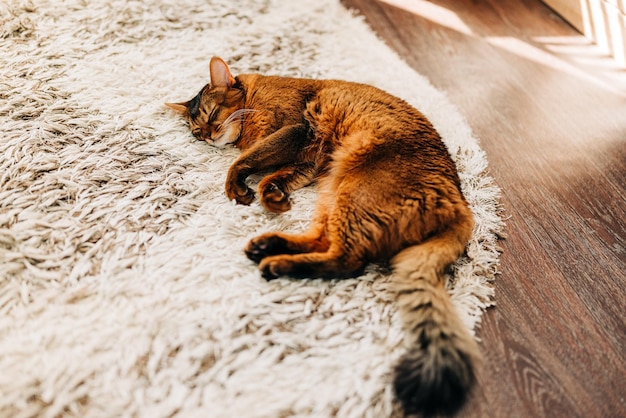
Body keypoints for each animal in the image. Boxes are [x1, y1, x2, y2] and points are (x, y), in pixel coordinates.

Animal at [166, 57, 478, 416]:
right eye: (196, 133)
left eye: (212, 114)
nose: (208, 136)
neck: (255, 97)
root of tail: (457, 202)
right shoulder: (310, 161)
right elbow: (274, 176)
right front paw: (273, 195)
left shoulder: (293, 129)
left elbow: (245, 160)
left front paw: (239, 184)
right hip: (333, 190)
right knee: (324, 242)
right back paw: (269, 245)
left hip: (354, 192)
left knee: (347, 261)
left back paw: (277, 264)